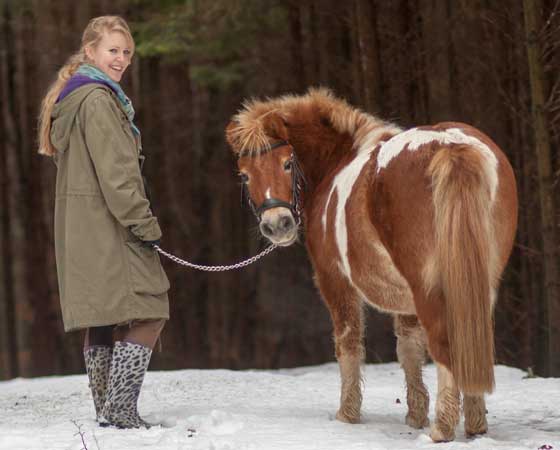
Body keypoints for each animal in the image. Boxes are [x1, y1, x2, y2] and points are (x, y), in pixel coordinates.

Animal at [223, 89, 516, 442]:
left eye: (287, 163)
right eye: (245, 174)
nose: (277, 225)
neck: (337, 161)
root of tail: (450, 146)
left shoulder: (335, 282)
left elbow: (348, 344)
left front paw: (347, 414)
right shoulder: (405, 303)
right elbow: (409, 349)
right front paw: (415, 414)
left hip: (429, 288)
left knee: (446, 344)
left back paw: (443, 428)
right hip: (479, 282)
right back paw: (474, 424)